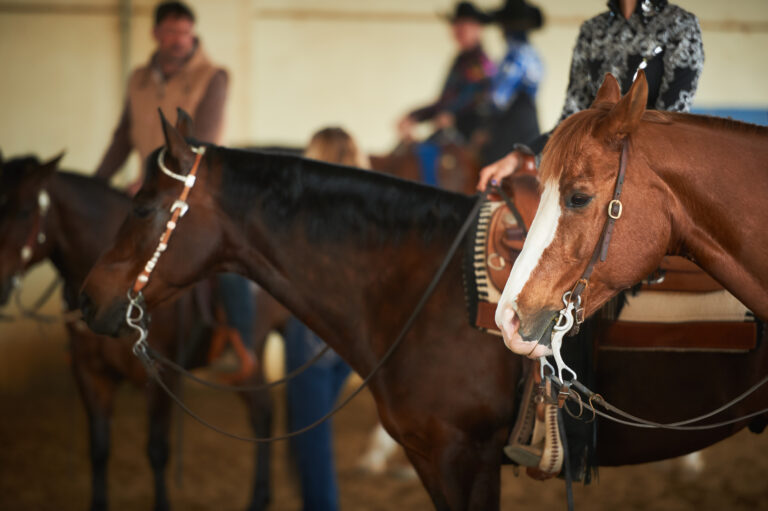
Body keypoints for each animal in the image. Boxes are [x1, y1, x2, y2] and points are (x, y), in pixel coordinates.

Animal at [0, 154, 272, 511]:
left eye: (24, 211)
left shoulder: (160, 375)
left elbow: (157, 450)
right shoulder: (90, 373)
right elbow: (99, 448)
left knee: (262, 416)